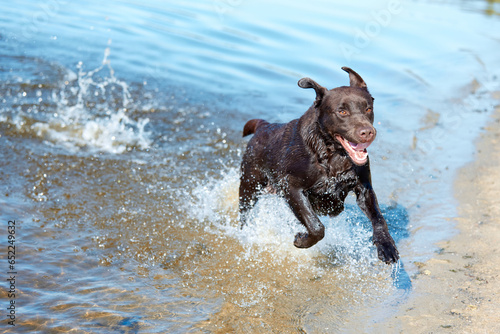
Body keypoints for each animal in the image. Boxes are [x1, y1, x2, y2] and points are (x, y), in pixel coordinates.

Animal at [240, 67, 400, 264]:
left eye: (368, 108)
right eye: (342, 112)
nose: (368, 132)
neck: (333, 154)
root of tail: (264, 126)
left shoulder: (364, 188)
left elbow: (378, 217)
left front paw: (386, 245)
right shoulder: (291, 187)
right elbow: (316, 226)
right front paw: (301, 240)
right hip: (249, 186)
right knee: (244, 214)